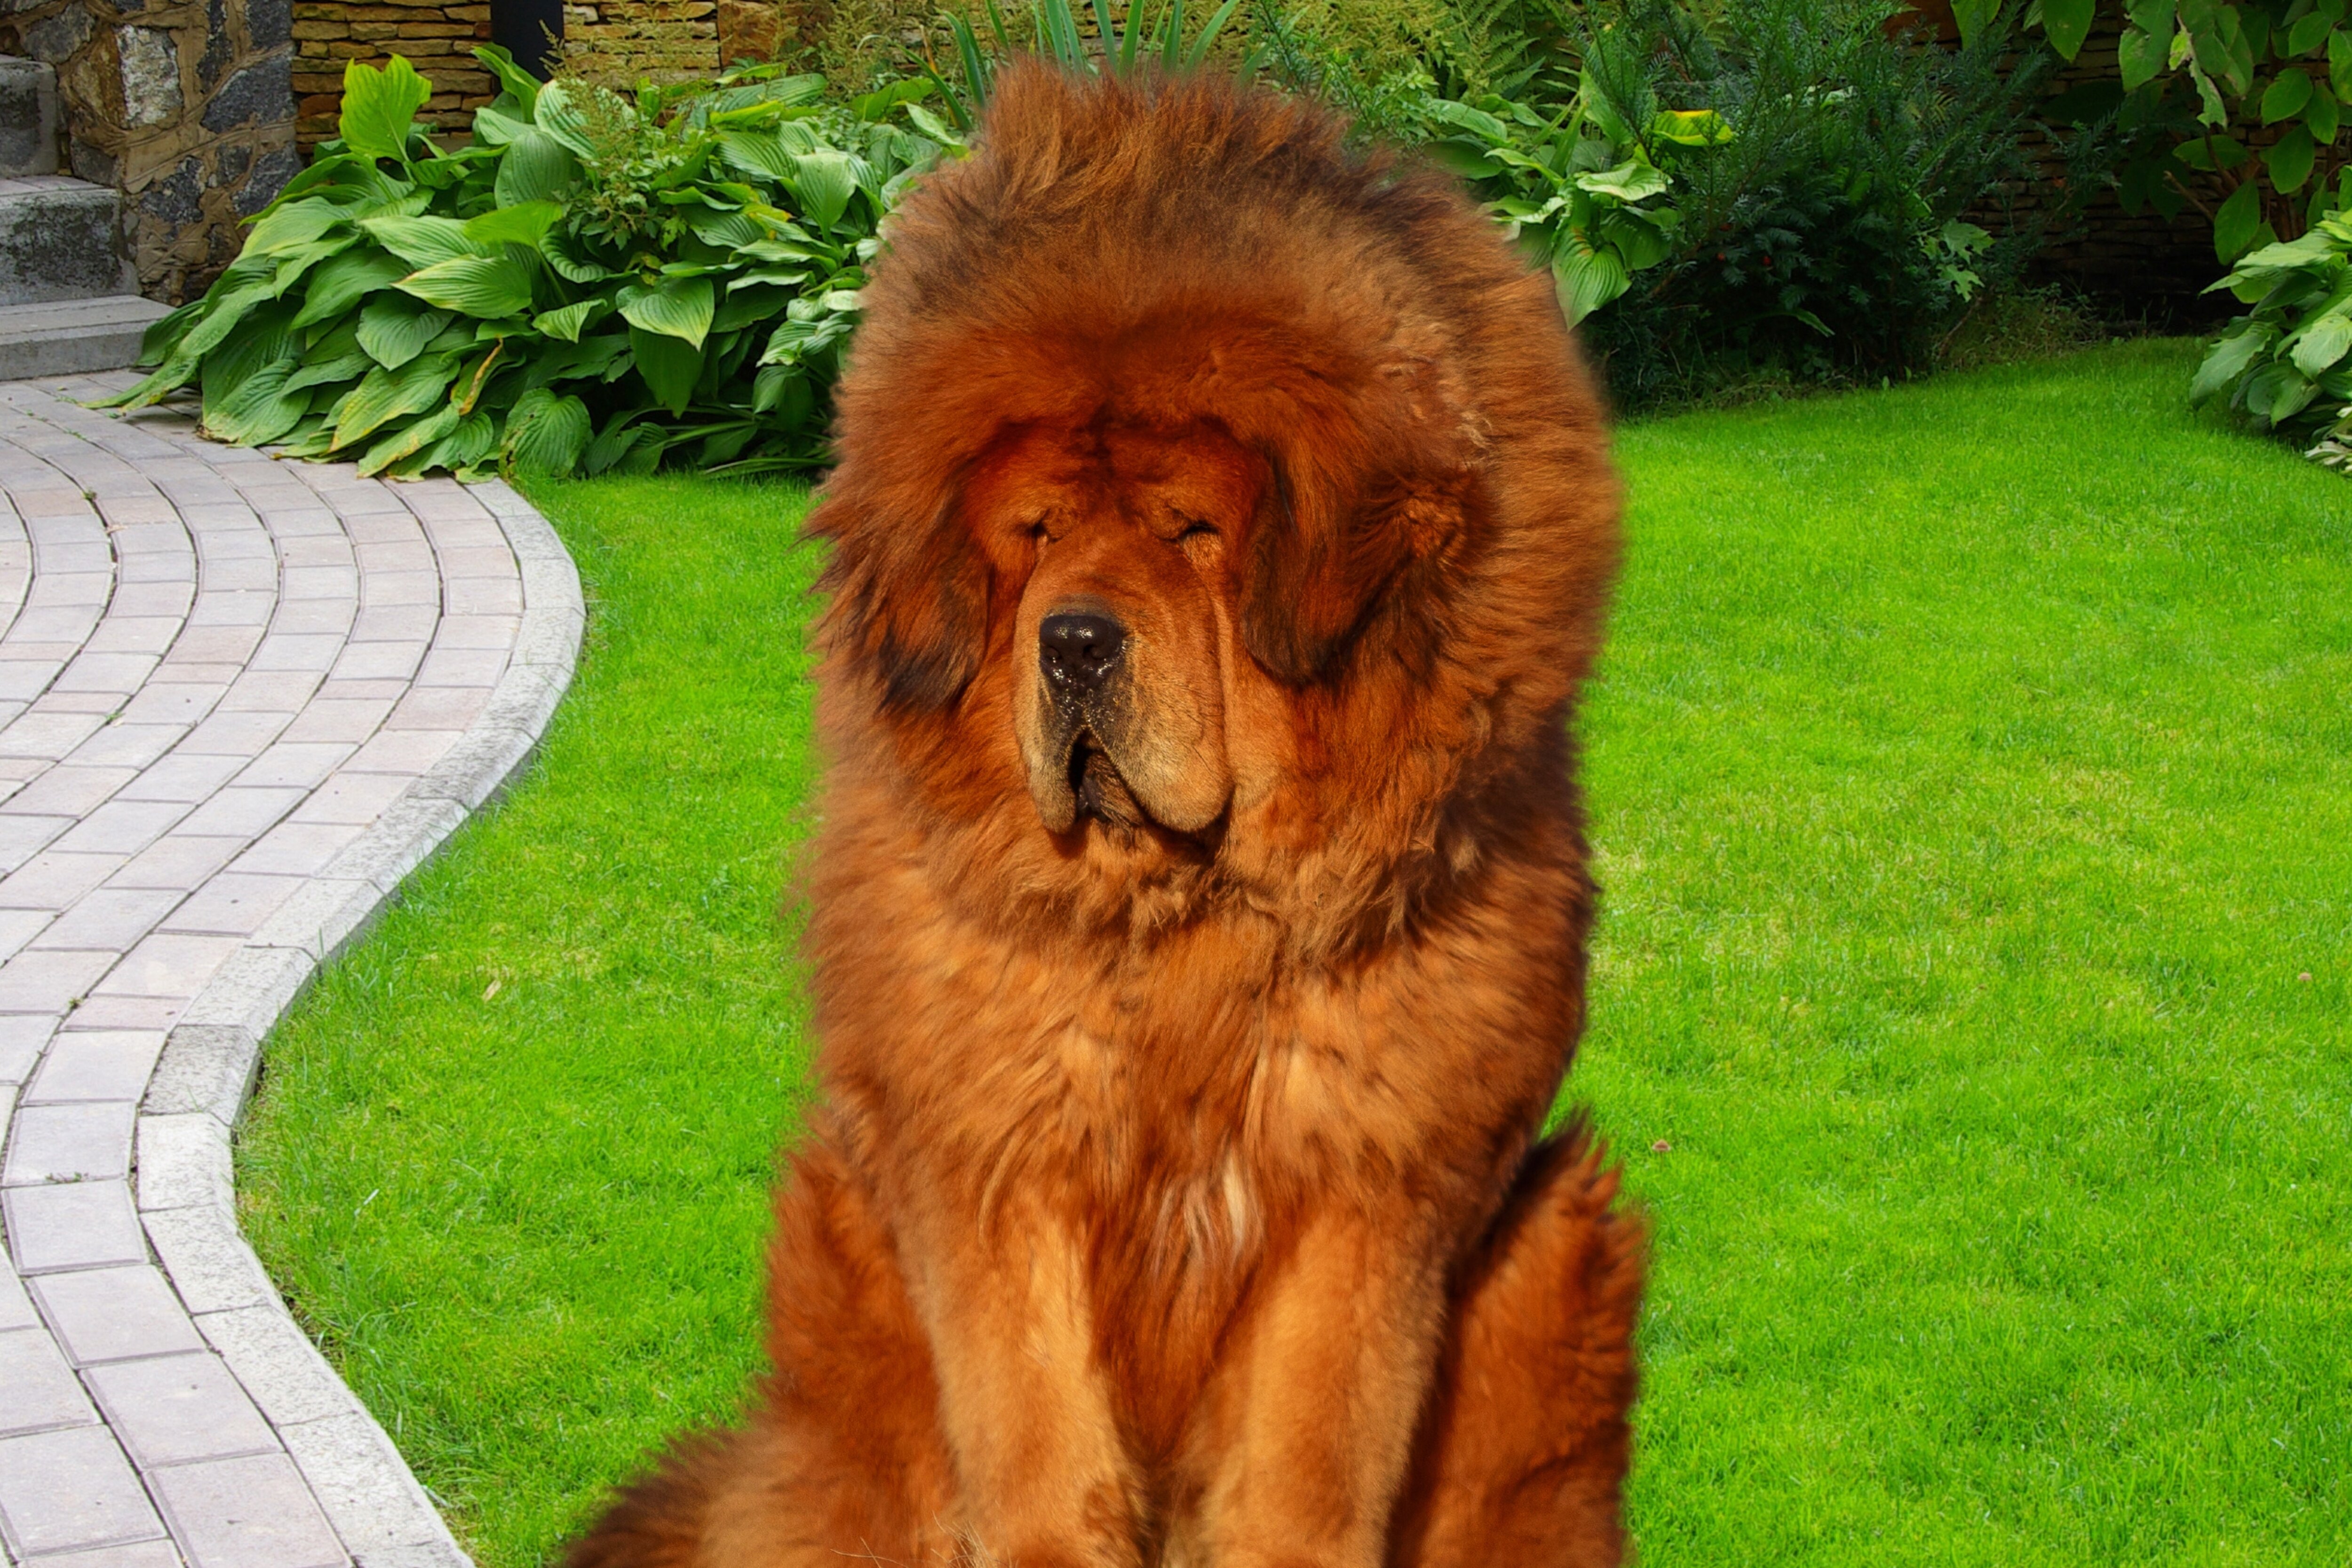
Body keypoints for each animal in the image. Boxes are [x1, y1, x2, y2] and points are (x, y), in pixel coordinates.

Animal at [566, 63, 1639, 1568]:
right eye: (1036, 534)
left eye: (1193, 531)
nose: (1072, 641)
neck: (1181, 919)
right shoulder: (993, 1164)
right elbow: (1038, 1446)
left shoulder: (1368, 1183)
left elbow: (1305, 1464)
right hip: (844, 1250)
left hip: (1564, 1240)